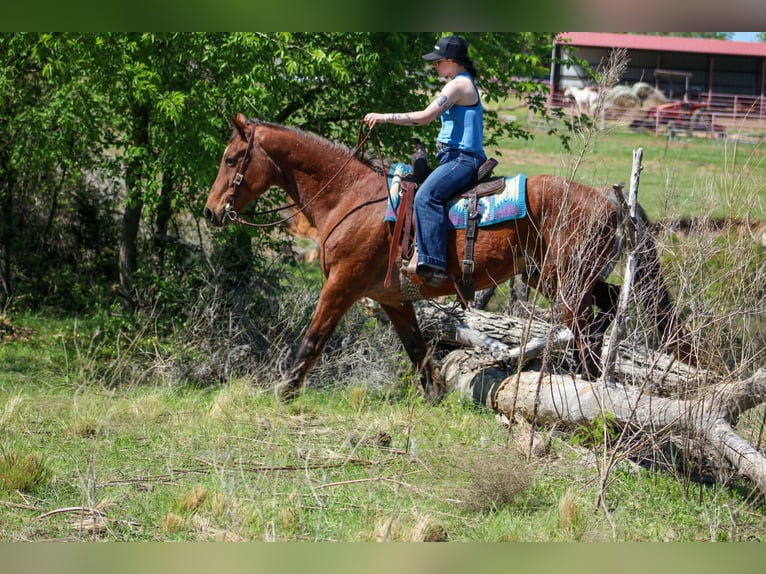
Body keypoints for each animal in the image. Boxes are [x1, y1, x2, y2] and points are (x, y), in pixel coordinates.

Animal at [204, 113, 696, 403]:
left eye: (230, 159)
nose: (210, 212)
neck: (350, 197)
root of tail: (609, 200)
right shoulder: (392, 299)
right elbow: (418, 350)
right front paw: (436, 395)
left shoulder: (340, 286)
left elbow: (312, 338)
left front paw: (283, 391)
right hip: (563, 277)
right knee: (608, 309)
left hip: (568, 282)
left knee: (589, 325)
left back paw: (591, 389)